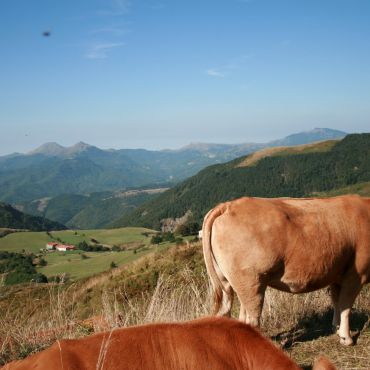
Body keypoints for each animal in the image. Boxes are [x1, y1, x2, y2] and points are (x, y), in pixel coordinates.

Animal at [202, 195, 370, 346]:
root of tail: (227, 205)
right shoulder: (356, 275)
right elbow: (345, 305)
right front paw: (346, 338)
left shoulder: (337, 273)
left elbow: (336, 300)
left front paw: (336, 327)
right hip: (251, 283)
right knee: (252, 318)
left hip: (230, 283)